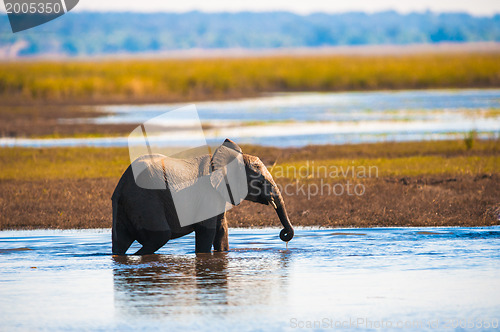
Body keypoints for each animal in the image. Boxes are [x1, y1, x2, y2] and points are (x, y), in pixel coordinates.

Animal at [110, 139, 292, 255]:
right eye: (259, 182)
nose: (283, 234)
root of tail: (121, 186)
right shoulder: (208, 194)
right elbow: (207, 230)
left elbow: (222, 229)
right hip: (145, 201)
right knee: (159, 237)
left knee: (121, 243)